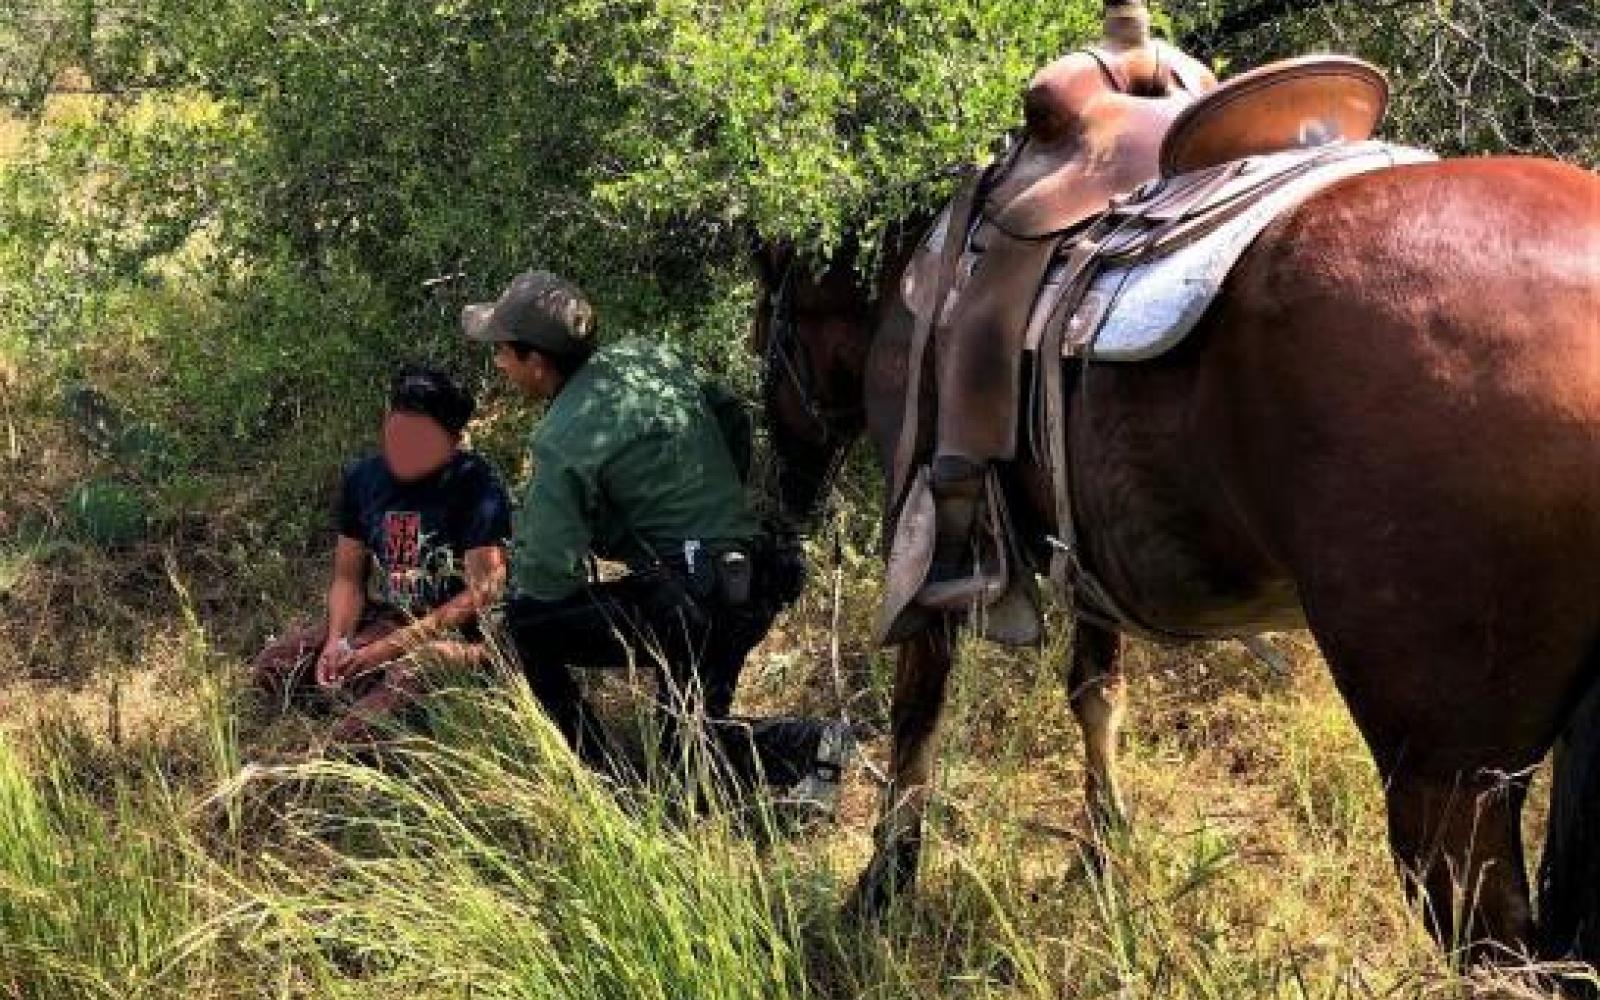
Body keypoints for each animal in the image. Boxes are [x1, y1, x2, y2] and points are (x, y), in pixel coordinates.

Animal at [751, 155, 1600, 967]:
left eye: (769, 339)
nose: (781, 499)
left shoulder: (929, 548)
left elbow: (915, 718)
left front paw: (883, 884)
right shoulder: (1084, 560)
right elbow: (1096, 695)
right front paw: (1099, 851)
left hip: (1447, 787)